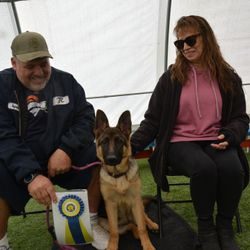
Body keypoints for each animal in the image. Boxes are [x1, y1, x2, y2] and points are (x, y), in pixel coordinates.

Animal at [94, 110, 157, 250]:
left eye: (119, 141)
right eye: (104, 142)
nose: (111, 159)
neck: (119, 176)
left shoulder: (135, 201)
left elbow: (143, 228)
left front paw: (147, 245)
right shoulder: (110, 205)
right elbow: (114, 232)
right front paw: (112, 246)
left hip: (137, 207)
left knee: (143, 217)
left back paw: (151, 224)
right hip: (106, 222)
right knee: (129, 226)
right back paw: (135, 232)